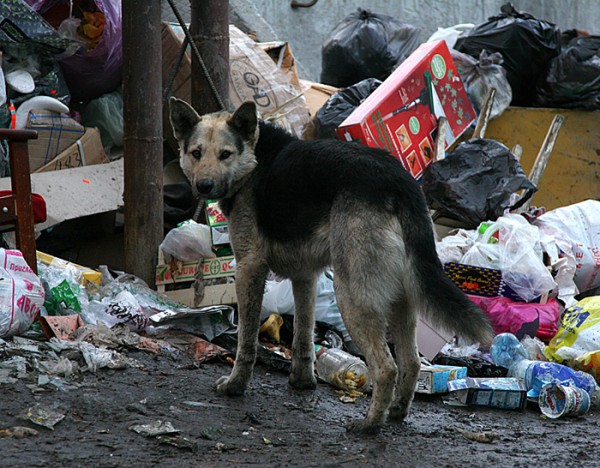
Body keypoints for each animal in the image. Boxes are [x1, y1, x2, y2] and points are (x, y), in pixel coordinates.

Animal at [168, 98, 492, 436]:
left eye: (225, 154)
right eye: (196, 153)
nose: (204, 186)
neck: (254, 158)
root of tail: (401, 185)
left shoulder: (249, 269)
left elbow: (247, 341)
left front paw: (236, 386)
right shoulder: (305, 276)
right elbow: (303, 334)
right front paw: (302, 381)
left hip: (352, 296)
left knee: (386, 367)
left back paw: (370, 424)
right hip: (400, 298)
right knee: (411, 362)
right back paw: (397, 411)